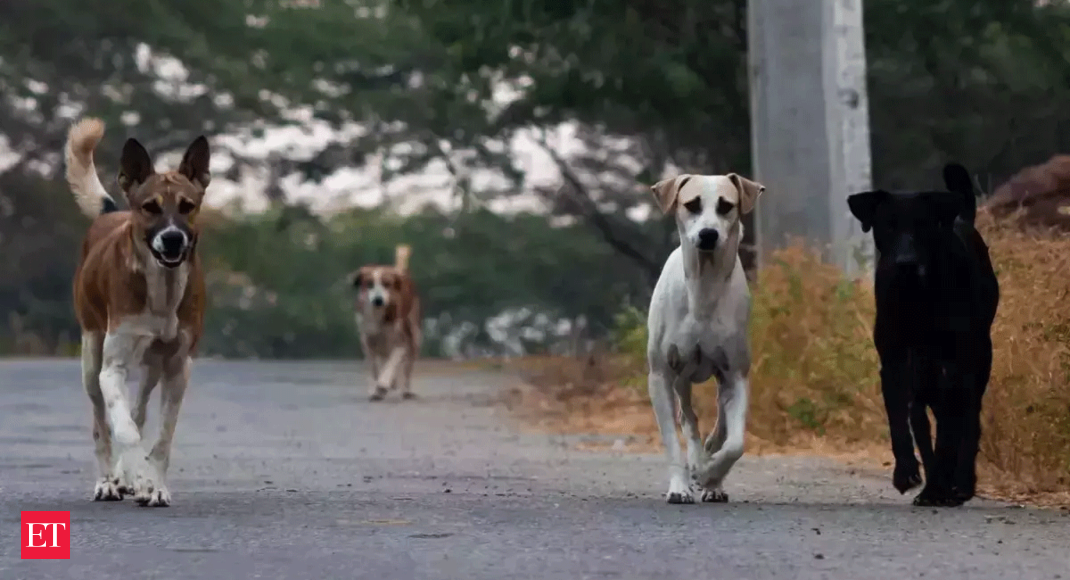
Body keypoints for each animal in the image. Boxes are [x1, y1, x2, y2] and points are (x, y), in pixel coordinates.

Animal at [66, 118, 210, 509]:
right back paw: (109, 481)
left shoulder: (178, 367)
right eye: (150, 207)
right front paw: (135, 475)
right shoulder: (111, 368)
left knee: (139, 408)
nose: (173, 238)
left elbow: (161, 437)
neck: (162, 289)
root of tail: (110, 212)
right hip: (91, 355)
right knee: (102, 424)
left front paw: (154, 484)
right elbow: (125, 432)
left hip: (152, 367)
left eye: (187, 206)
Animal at [348, 243, 419, 400]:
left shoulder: (401, 342)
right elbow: (373, 367)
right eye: (369, 284)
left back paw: (405, 389)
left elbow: (392, 363)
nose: (378, 300)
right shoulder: (367, 341)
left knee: (407, 365)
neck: (377, 315)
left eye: (387, 284)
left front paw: (384, 383)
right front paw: (375, 389)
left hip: (414, 335)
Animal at [646, 171, 766, 505]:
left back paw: (710, 474)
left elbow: (736, 443)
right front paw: (680, 485)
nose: (708, 234)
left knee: (720, 422)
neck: (704, 288)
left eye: (726, 205)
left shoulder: (736, 374)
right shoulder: (660, 374)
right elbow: (673, 438)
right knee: (688, 417)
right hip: (681, 378)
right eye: (692, 204)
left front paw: (711, 475)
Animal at [847, 163, 997, 509]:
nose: (906, 264)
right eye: (887, 226)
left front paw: (944, 484)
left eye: (923, 227)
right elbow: (900, 424)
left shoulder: (953, 369)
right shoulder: (894, 365)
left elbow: (949, 435)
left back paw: (960, 483)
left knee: (970, 420)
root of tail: (963, 219)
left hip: (978, 360)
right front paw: (908, 474)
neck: (915, 297)